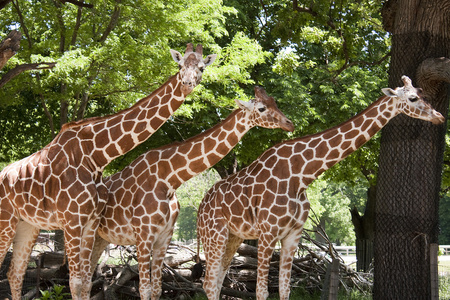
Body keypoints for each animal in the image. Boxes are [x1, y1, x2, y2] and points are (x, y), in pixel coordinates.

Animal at [0, 42, 216, 300]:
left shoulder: (90, 223)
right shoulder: (72, 221)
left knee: (15, 273)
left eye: (202, 67)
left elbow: (84, 282)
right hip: (6, 220)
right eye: (180, 64)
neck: (95, 156)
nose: (187, 83)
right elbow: (74, 282)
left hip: (27, 224)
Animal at [90, 86, 296, 300]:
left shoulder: (164, 236)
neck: (168, 179)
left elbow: (157, 289)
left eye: (276, 102)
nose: (289, 124)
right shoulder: (143, 235)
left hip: (100, 239)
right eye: (262, 108)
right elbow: (144, 289)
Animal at [196, 75, 442, 300]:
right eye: (412, 98)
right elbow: (262, 292)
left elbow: (285, 290)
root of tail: (200, 207)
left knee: (217, 281)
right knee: (208, 283)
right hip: (214, 236)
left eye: (422, 93)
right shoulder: (268, 233)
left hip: (233, 237)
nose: (439, 116)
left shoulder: (293, 235)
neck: (302, 175)